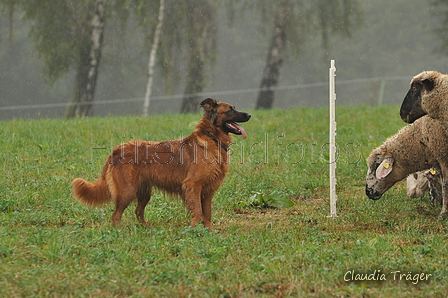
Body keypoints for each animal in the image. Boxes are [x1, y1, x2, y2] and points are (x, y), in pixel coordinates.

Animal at [72, 99, 250, 229]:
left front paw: (209, 232)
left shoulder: (207, 191)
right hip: (127, 191)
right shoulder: (193, 185)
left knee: (138, 211)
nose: (249, 115)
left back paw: (146, 229)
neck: (211, 139)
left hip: (144, 192)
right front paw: (193, 230)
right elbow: (198, 212)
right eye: (230, 110)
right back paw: (119, 231)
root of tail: (116, 149)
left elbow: (207, 214)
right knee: (116, 215)